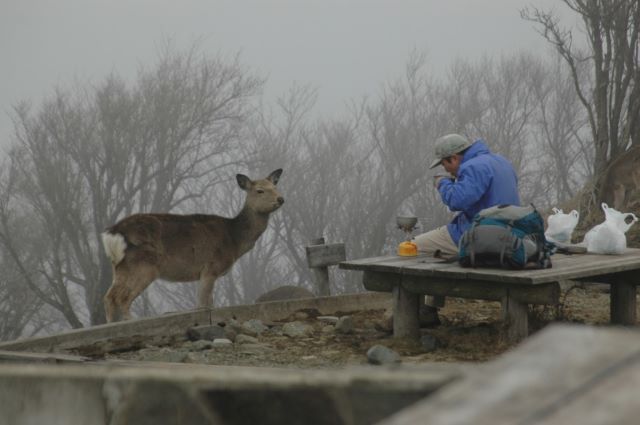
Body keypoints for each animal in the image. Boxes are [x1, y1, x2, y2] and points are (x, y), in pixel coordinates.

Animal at [102, 169, 282, 322]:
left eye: (275, 187)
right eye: (259, 190)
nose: (281, 199)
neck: (234, 240)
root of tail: (113, 232)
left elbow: (207, 303)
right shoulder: (211, 267)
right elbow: (203, 305)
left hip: (120, 266)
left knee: (109, 296)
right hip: (144, 264)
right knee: (122, 297)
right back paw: (130, 320)